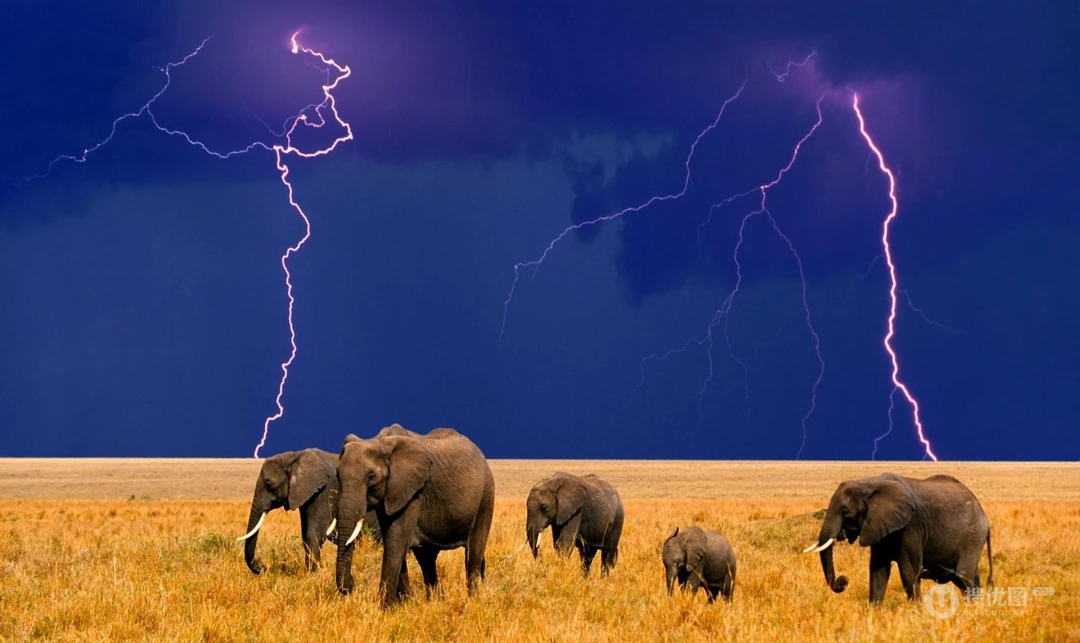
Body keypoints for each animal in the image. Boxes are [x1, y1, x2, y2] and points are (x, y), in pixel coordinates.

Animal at [237, 448, 379, 574]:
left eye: (270, 484)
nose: (264, 567)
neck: (294, 456)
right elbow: (305, 533)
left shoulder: (324, 490)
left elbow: (314, 532)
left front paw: (313, 573)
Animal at [334, 426, 496, 607]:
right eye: (337, 475)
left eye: (371, 477)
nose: (351, 585)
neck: (381, 442)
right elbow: (393, 540)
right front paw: (407, 605)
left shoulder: (412, 490)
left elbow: (395, 541)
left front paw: (386, 609)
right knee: (427, 559)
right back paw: (435, 602)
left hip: (486, 496)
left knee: (473, 552)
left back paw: (473, 600)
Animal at [804, 472, 993, 603]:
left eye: (845, 512)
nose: (843, 581)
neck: (869, 483)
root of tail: (985, 517)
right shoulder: (878, 526)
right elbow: (878, 570)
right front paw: (875, 612)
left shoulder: (910, 527)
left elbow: (909, 572)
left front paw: (916, 611)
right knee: (968, 578)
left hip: (972, 536)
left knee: (964, 576)